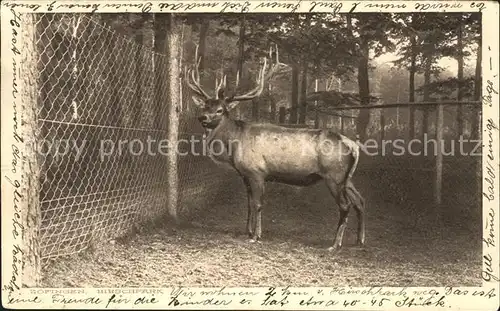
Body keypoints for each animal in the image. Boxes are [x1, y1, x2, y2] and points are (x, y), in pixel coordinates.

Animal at [186, 46, 366, 252]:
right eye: (205, 106)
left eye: (220, 110)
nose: (203, 118)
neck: (234, 146)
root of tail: (353, 145)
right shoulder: (245, 175)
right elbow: (249, 204)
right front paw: (247, 231)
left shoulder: (257, 171)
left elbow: (258, 204)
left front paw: (256, 236)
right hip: (347, 177)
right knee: (360, 200)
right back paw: (359, 240)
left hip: (334, 175)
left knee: (345, 205)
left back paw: (335, 244)